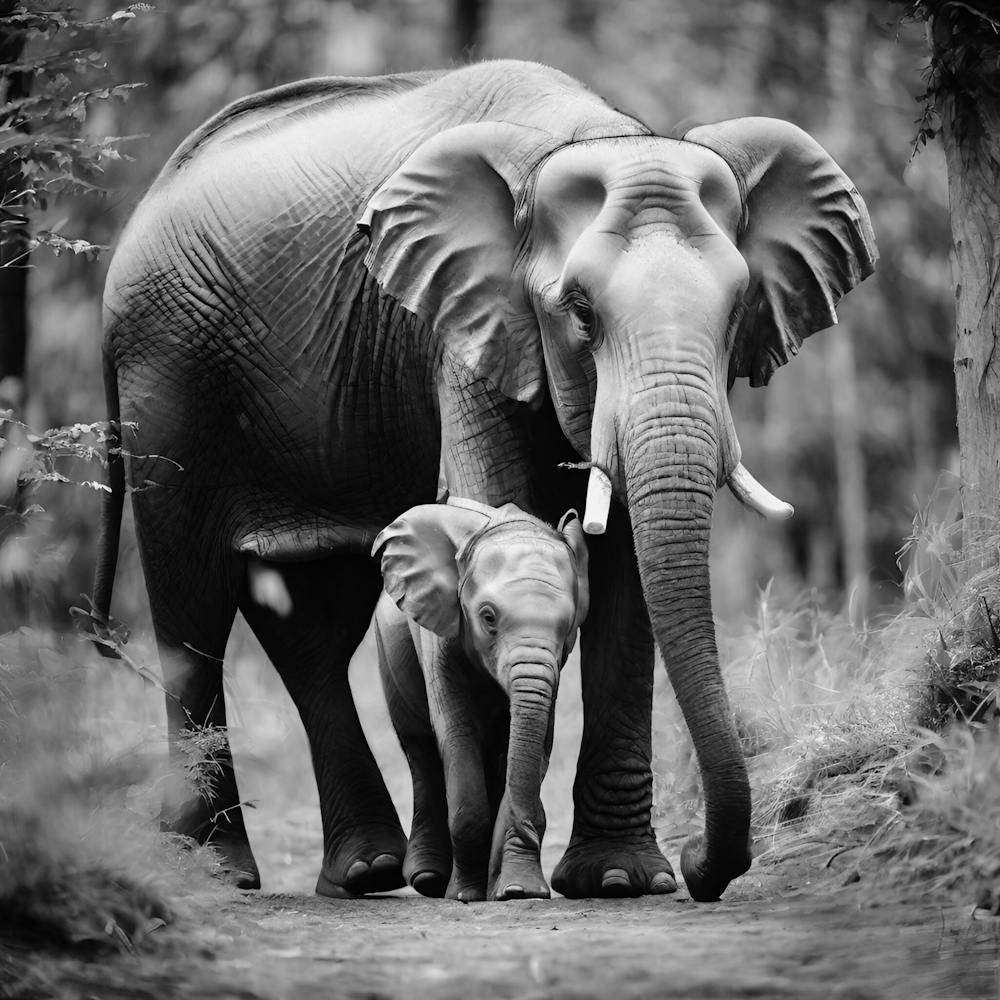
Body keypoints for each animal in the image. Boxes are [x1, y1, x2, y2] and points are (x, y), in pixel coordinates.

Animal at [371, 498, 591, 901]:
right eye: (488, 618)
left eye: (568, 625)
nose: (529, 826)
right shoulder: (440, 635)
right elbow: (457, 735)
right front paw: (464, 895)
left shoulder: (555, 668)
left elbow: (533, 744)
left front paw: (516, 889)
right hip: (390, 647)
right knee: (419, 751)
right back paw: (429, 879)